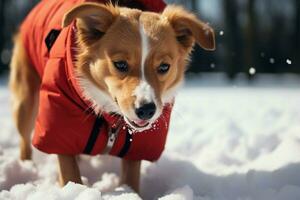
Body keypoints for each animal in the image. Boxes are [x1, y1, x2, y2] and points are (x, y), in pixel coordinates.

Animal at [8, 0, 216, 194]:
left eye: (164, 67)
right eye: (120, 64)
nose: (146, 110)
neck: (112, 118)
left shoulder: (137, 145)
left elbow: (131, 177)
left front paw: (129, 192)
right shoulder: (59, 126)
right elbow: (70, 172)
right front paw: (75, 190)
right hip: (26, 101)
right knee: (24, 140)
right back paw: (27, 167)